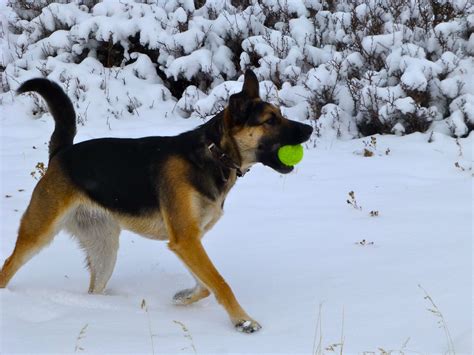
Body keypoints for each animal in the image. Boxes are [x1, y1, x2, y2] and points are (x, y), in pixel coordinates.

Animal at [0, 70, 312, 334]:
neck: (214, 155)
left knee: (94, 286)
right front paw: (242, 321)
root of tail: (62, 153)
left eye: (279, 115)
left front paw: (183, 296)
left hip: (104, 251)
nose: (309, 129)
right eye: (270, 120)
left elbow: (205, 285)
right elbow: (220, 283)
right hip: (39, 233)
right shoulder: (185, 239)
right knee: (8, 265)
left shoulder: (187, 241)